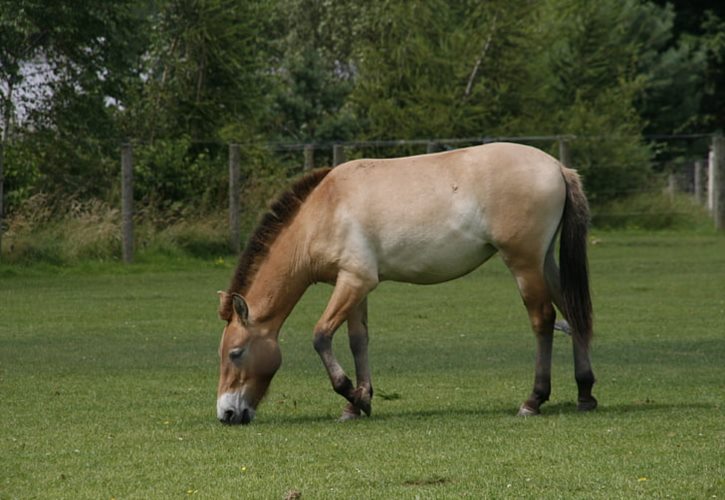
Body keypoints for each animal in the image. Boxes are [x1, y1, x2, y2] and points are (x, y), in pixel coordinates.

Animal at [214, 143, 592, 424]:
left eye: (236, 353)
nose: (226, 413)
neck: (325, 210)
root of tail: (557, 167)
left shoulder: (355, 281)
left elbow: (321, 336)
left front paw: (350, 392)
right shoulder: (354, 284)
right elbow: (357, 341)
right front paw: (358, 403)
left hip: (524, 264)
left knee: (543, 320)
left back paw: (534, 400)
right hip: (545, 262)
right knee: (572, 313)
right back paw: (586, 393)